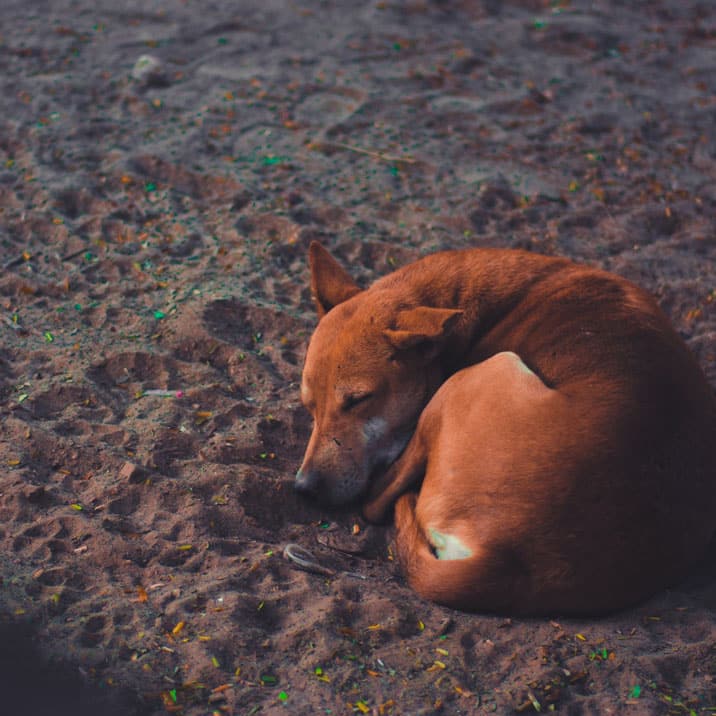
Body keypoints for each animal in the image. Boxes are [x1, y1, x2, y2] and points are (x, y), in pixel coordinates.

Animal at [296, 242, 716, 616]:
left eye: (358, 400)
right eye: (308, 406)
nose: (304, 488)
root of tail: (513, 565)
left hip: (479, 376)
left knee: (378, 499)